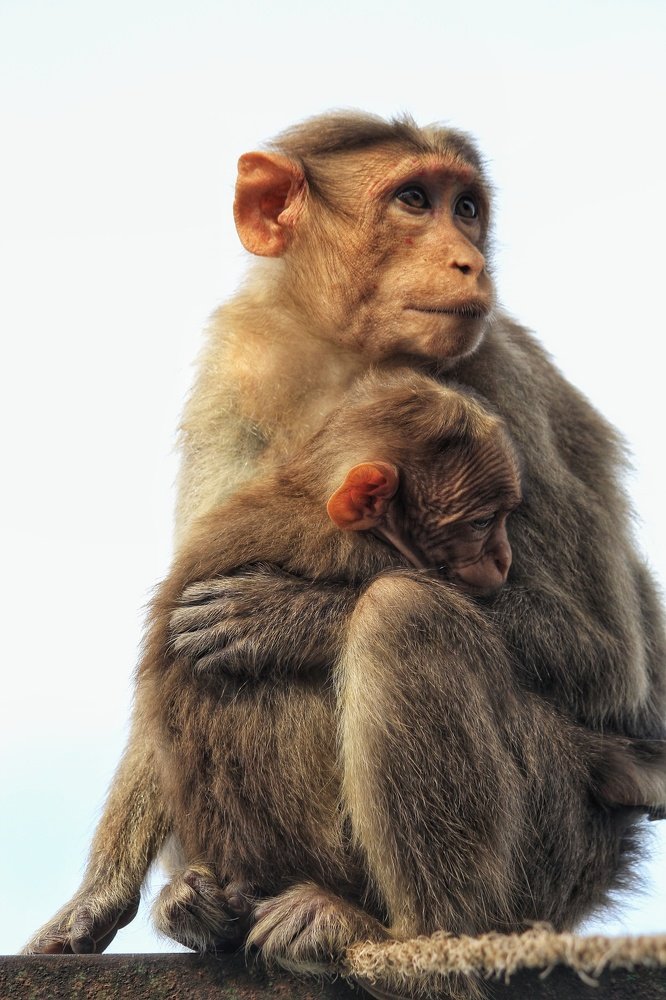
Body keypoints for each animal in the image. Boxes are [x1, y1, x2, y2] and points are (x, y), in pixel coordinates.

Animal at [24, 112, 666, 977]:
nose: (468, 260)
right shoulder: (234, 376)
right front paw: (95, 898)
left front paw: (280, 615)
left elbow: (607, 666)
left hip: (553, 840)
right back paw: (207, 908)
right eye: (414, 200)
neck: (348, 360)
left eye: (467, 209)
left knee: (404, 613)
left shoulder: (504, 383)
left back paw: (401, 928)